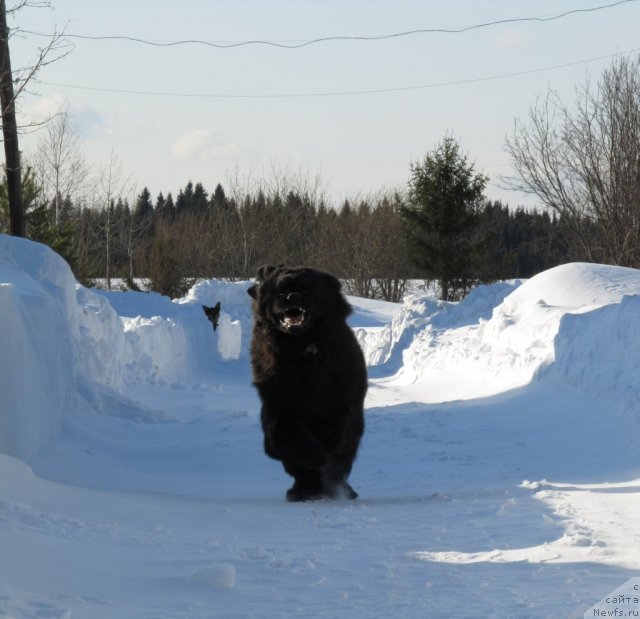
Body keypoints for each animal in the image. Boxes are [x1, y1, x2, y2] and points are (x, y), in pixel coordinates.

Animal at [248, 264, 368, 502]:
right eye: (280, 292)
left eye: (306, 291)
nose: (292, 296)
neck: (301, 351)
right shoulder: (278, 406)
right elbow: (287, 436)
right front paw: (316, 456)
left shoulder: (341, 396)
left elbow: (336, 426)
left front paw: (327, 444)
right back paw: (303, 490)